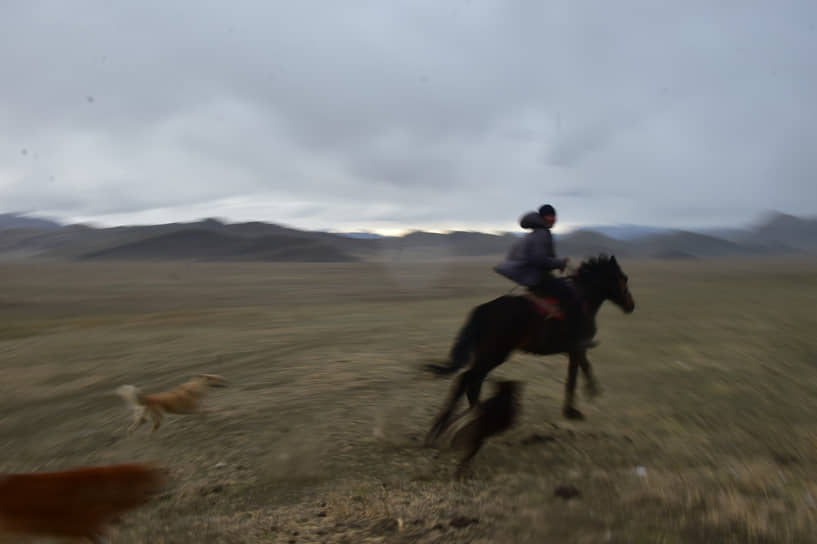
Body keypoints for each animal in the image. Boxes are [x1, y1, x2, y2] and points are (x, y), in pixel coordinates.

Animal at [424, 253, 636, 444]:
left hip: (487, 355)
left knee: (472, 382)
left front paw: (583, 400)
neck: (583, 299)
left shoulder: (575, 350)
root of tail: (482, 310)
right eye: (623, 278)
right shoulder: (577, 347)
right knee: (467, 379)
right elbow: (576, 374)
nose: (631, 305)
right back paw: (446, 427)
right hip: (494, 354)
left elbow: (579, 370)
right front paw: (578, 406)